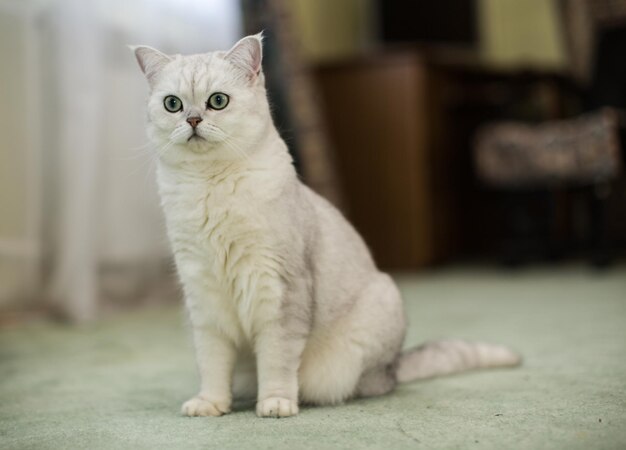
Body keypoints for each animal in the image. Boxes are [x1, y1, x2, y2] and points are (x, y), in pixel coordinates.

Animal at [130, 32, 516, 418]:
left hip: (374, 314)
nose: (193, 120)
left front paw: (275, 403)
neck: (210, 185)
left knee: (363, 386)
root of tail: (393, 367)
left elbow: (276, 359)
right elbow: (212, 363)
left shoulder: (278, 291)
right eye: (173, 104)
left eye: (218, 101)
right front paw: (210, 404)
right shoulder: (204, 298)